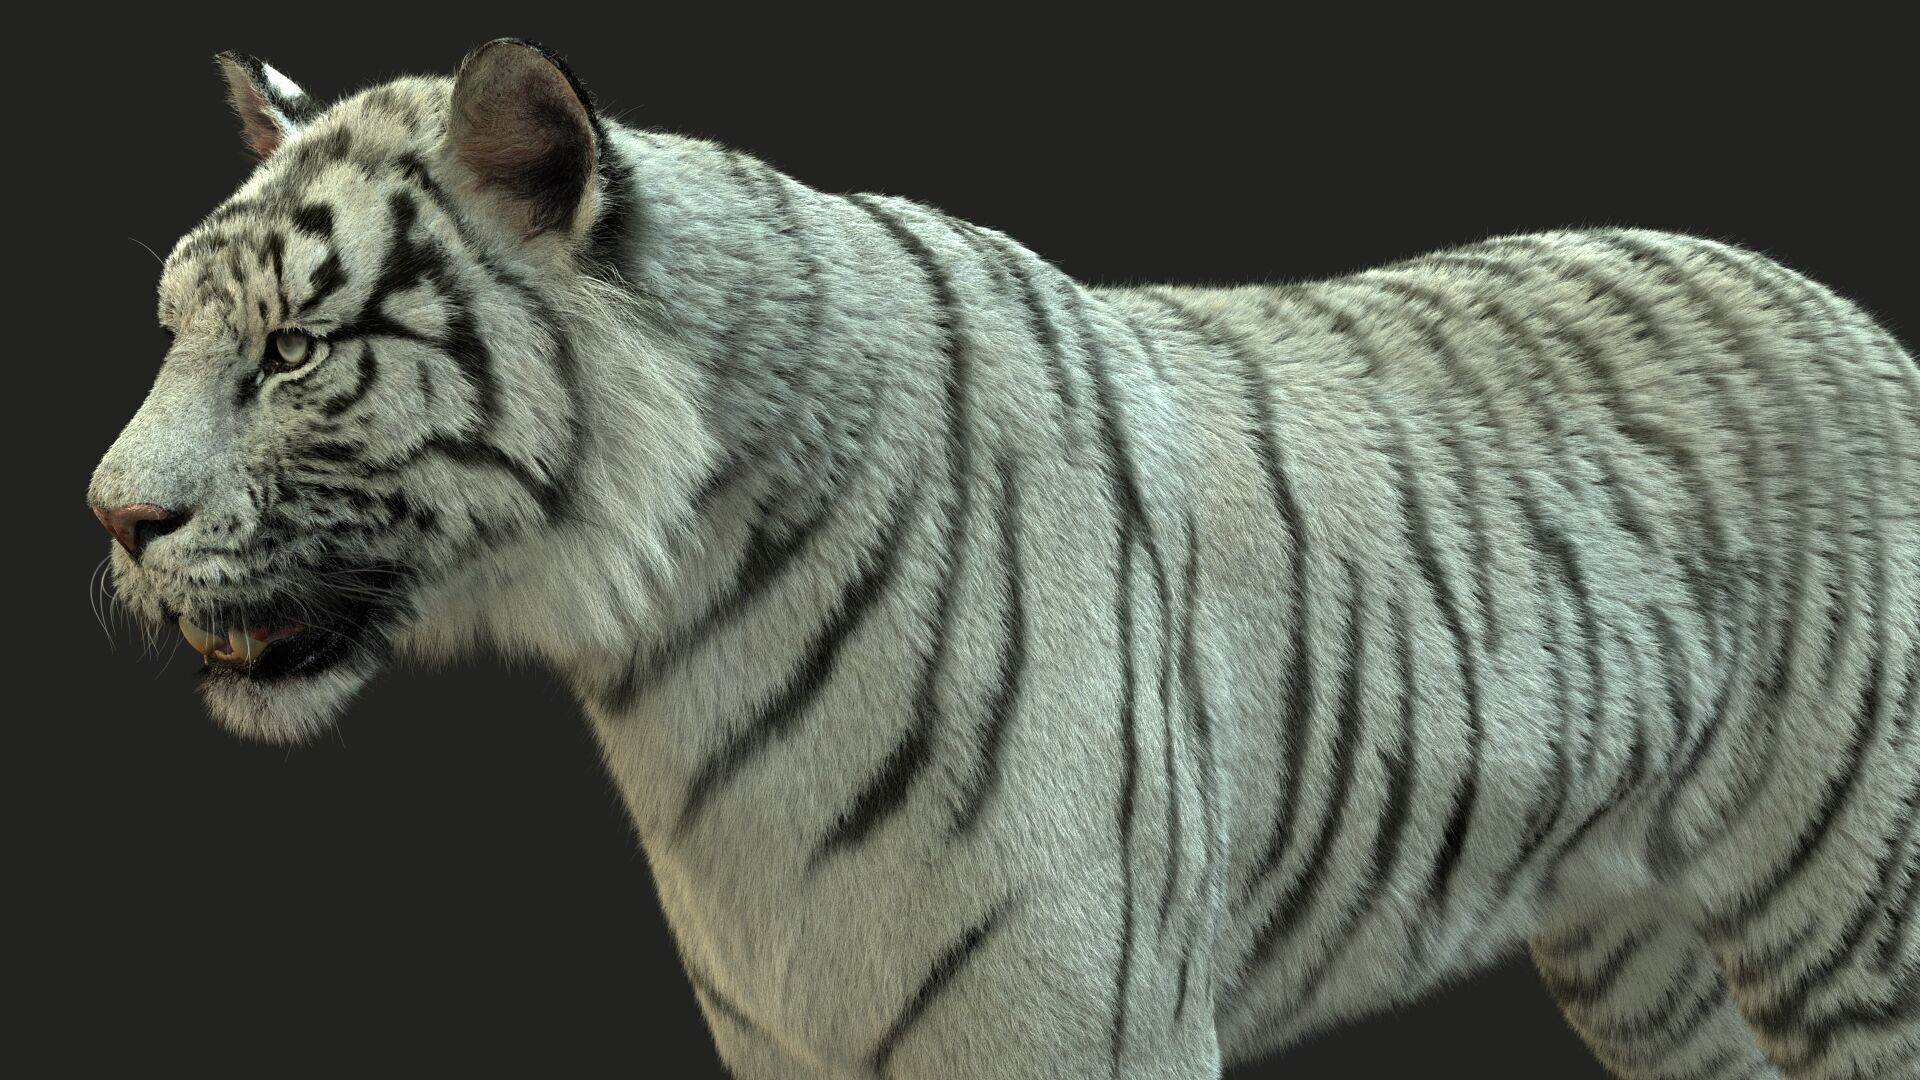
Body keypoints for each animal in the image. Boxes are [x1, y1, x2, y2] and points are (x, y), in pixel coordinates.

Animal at [87, 39, 1918, 1080]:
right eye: (176, 329)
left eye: (299, 353)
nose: (110, 517)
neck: (672, 654)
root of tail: (1855, 314)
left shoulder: (1088, 1027)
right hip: (1637, 947)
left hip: (1853, 919)